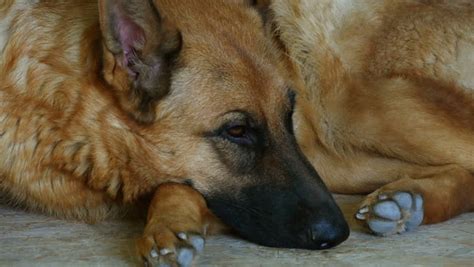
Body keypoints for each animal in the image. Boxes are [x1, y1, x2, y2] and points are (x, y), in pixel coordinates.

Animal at [0, 0, 472, 266]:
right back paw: (409, 200)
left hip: (342, 109)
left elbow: (176, 185)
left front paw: (169, 226)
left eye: (286, 115)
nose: (336, 236)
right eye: (238, 130)